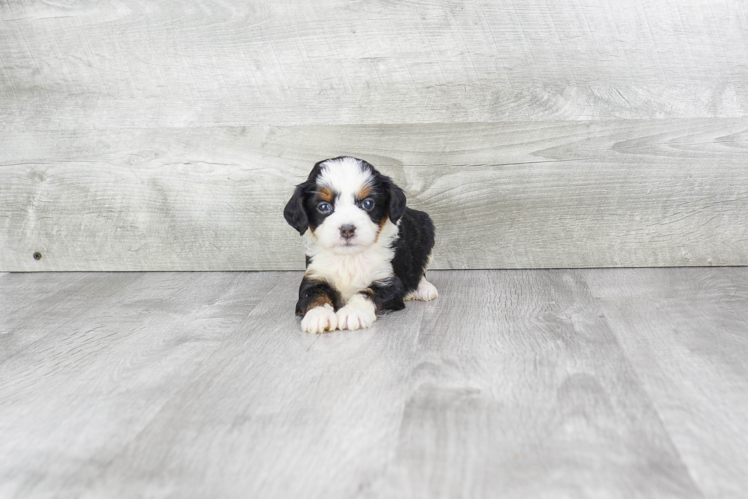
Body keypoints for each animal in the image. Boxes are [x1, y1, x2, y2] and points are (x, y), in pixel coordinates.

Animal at [284, 156, 438, 334]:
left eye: (368, 204)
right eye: (323, 207)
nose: (347, 229)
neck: (349, 258)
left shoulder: (388, 281)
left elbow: (366, 293)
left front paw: (352, 313)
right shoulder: (315, 275)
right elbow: (313, 295)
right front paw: (318, 315)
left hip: (426, 233)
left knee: (420, 270)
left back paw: (424, 289)